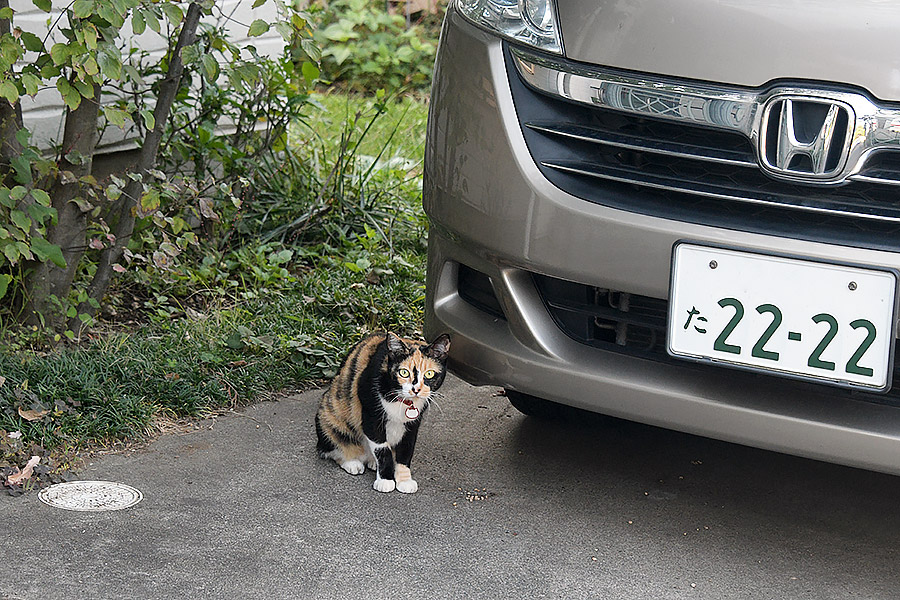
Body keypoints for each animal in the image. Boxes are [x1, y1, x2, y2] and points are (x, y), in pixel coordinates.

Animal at [314, 332, 450, 492]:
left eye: (429, 374)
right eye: (404, 372)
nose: (415, 389)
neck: (404, 402)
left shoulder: (413, 423)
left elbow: (406, 450)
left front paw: (404, 480)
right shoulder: (371, 416)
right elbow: (382, 450)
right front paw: (385, 480)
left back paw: (373, 463)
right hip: (329, 414)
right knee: (333, 447)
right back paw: (353, 462)